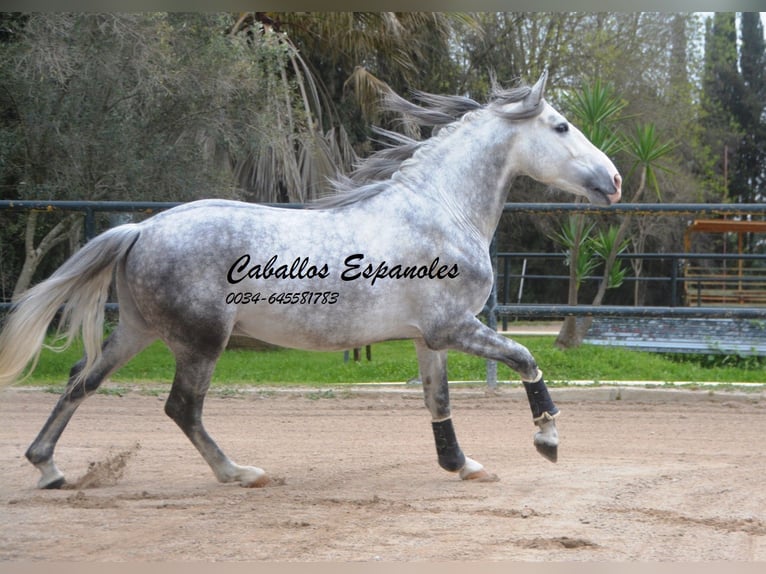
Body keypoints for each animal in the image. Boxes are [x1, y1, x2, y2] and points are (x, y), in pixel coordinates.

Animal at [0, 72, 624, 490]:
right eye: (561, 125)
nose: (615, 181)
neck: (441, 210)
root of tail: (141, 229)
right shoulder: (454, 326)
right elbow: (525, 358)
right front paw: (547, 440)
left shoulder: (430, 337)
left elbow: (437, 398)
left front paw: (462, 465)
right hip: (201, 340)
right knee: (182, 408)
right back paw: (239, 473)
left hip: (138, 330)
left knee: (82, 381)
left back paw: (48, 468)